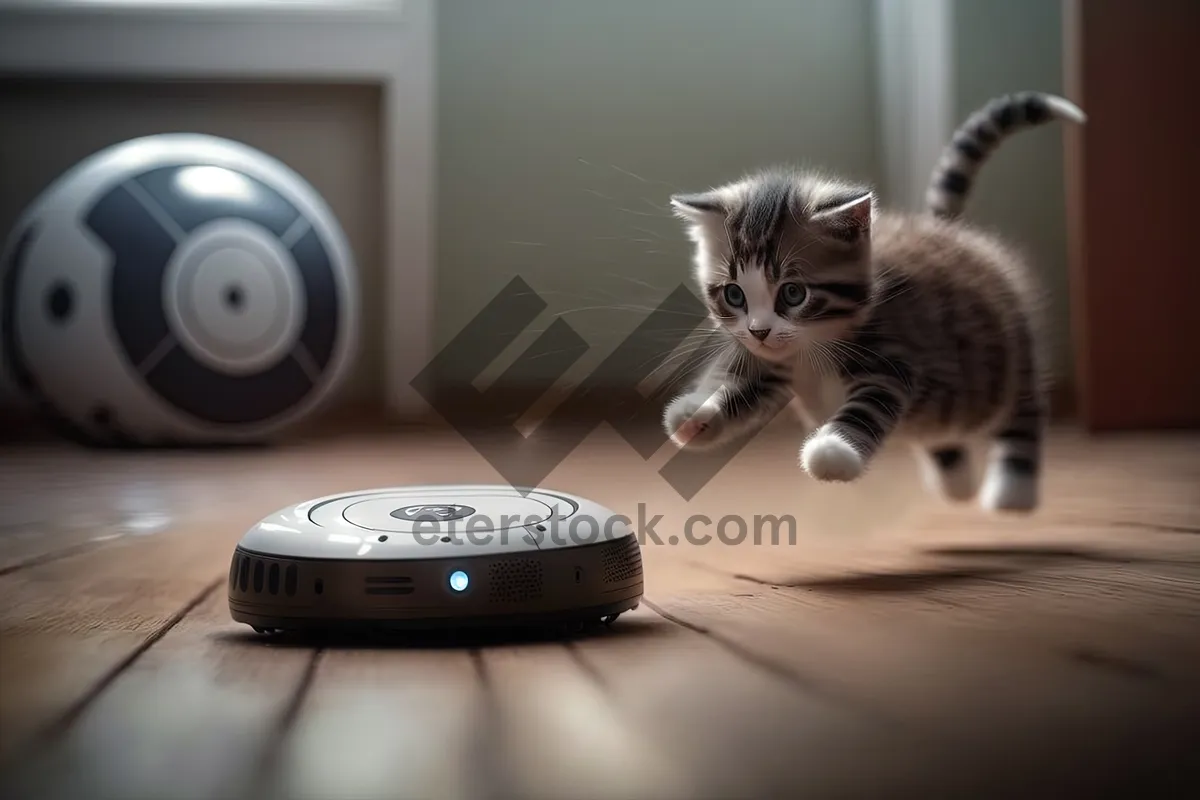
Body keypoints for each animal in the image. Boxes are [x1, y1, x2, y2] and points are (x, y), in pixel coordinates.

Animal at [667, 89, 1089, 513]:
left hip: (1009, 355)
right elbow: (740, 385)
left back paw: (1013, 490)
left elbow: (870, 404)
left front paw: (834, 451)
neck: (813, 346)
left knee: (1024, 409)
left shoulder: (892, 357)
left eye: (793, 292)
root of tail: (949, 231)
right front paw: (696, 413)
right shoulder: (771, 362)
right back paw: (956, 481)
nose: (759, 331)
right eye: (734, 294)